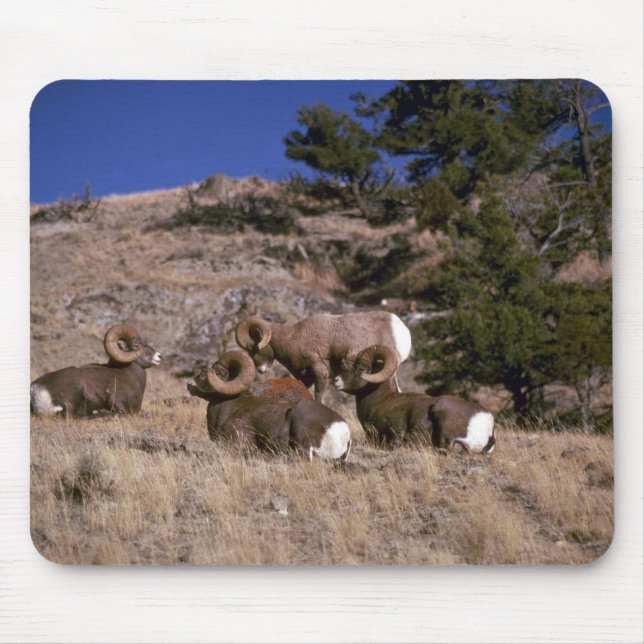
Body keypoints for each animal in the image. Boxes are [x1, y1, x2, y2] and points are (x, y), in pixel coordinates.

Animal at [234, 311, 412, 402]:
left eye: (251, 348)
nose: (260, 369)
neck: (294, 337)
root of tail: (400, 329)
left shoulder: (320, 372)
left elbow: (318, 396)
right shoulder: (306, 378)